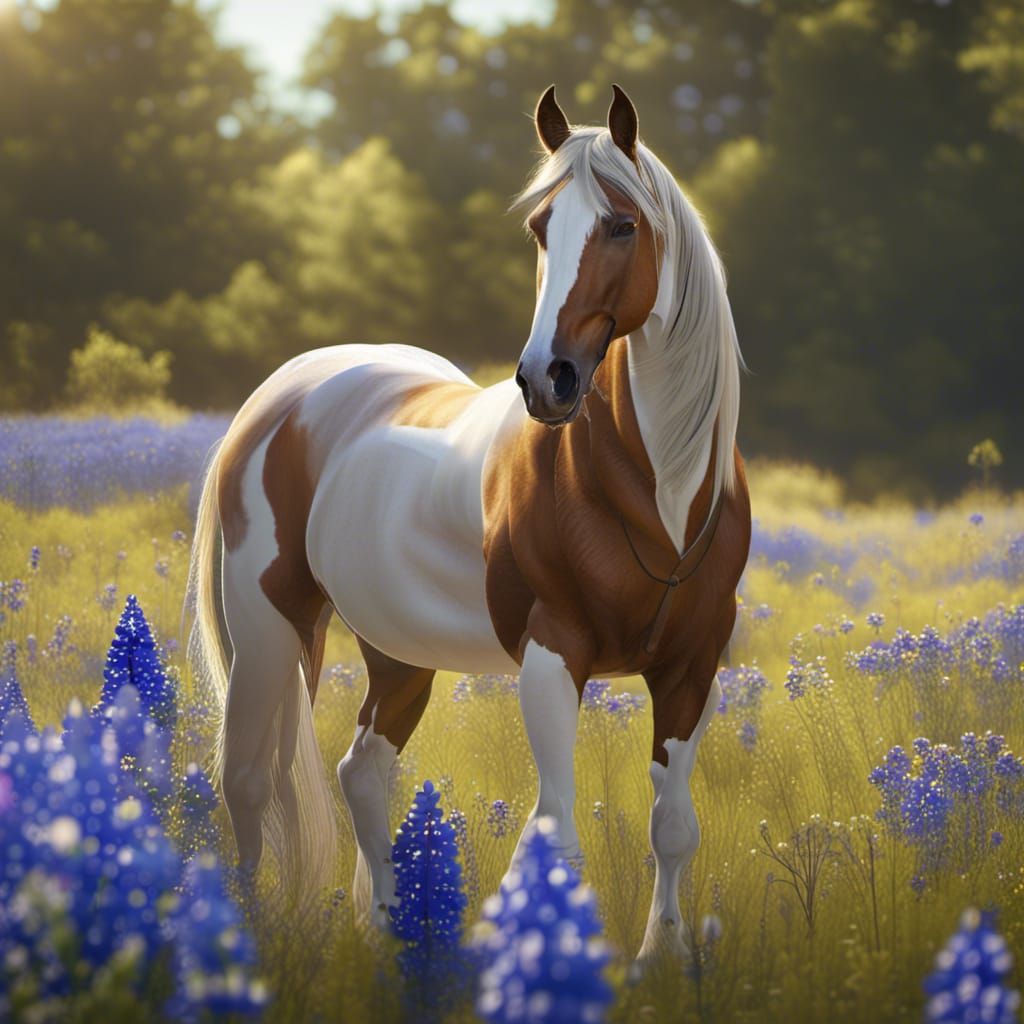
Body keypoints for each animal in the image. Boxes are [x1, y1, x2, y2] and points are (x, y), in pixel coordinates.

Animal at [187, 83, 750, 968]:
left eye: (623, 225)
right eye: (540, 227)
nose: (548, 380)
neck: (657, 493)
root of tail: (283, 394)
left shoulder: (691, 666)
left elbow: (673, 826)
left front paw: (663, 959)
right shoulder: (554, 654)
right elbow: (557, 828)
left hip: (395, 652)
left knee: (360, 771)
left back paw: (387, 932)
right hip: (269, 628)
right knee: (246, 778)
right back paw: (244, 937)